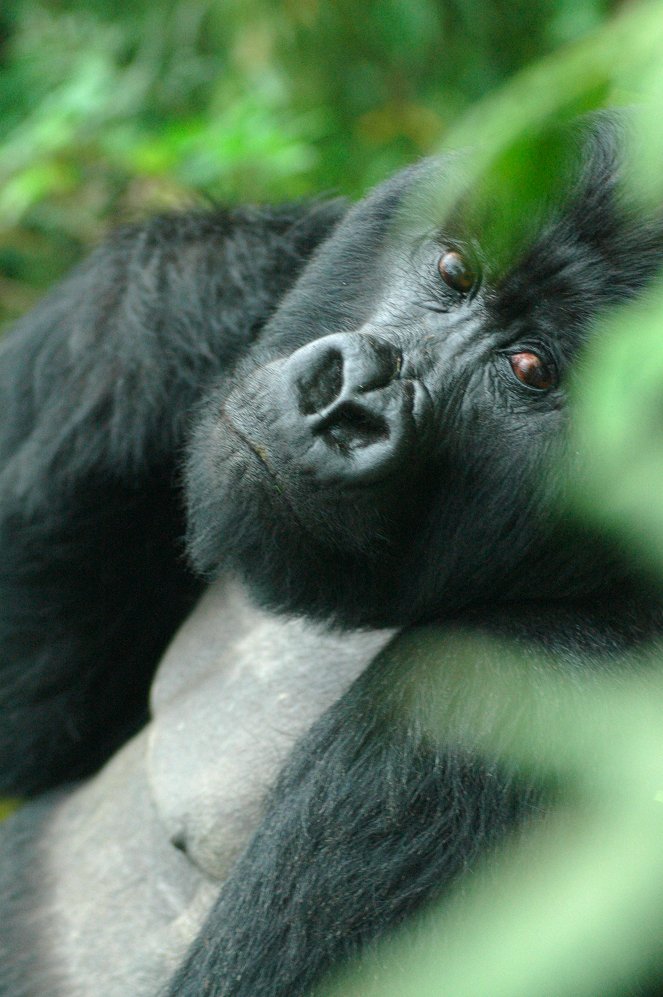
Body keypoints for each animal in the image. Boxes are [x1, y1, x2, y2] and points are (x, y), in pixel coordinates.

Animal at [0, 118, 660, 996]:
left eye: (531, 368)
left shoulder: (516, 696)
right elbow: (39, 730)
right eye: (455, 271)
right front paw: (197, 279)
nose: (347, 400)